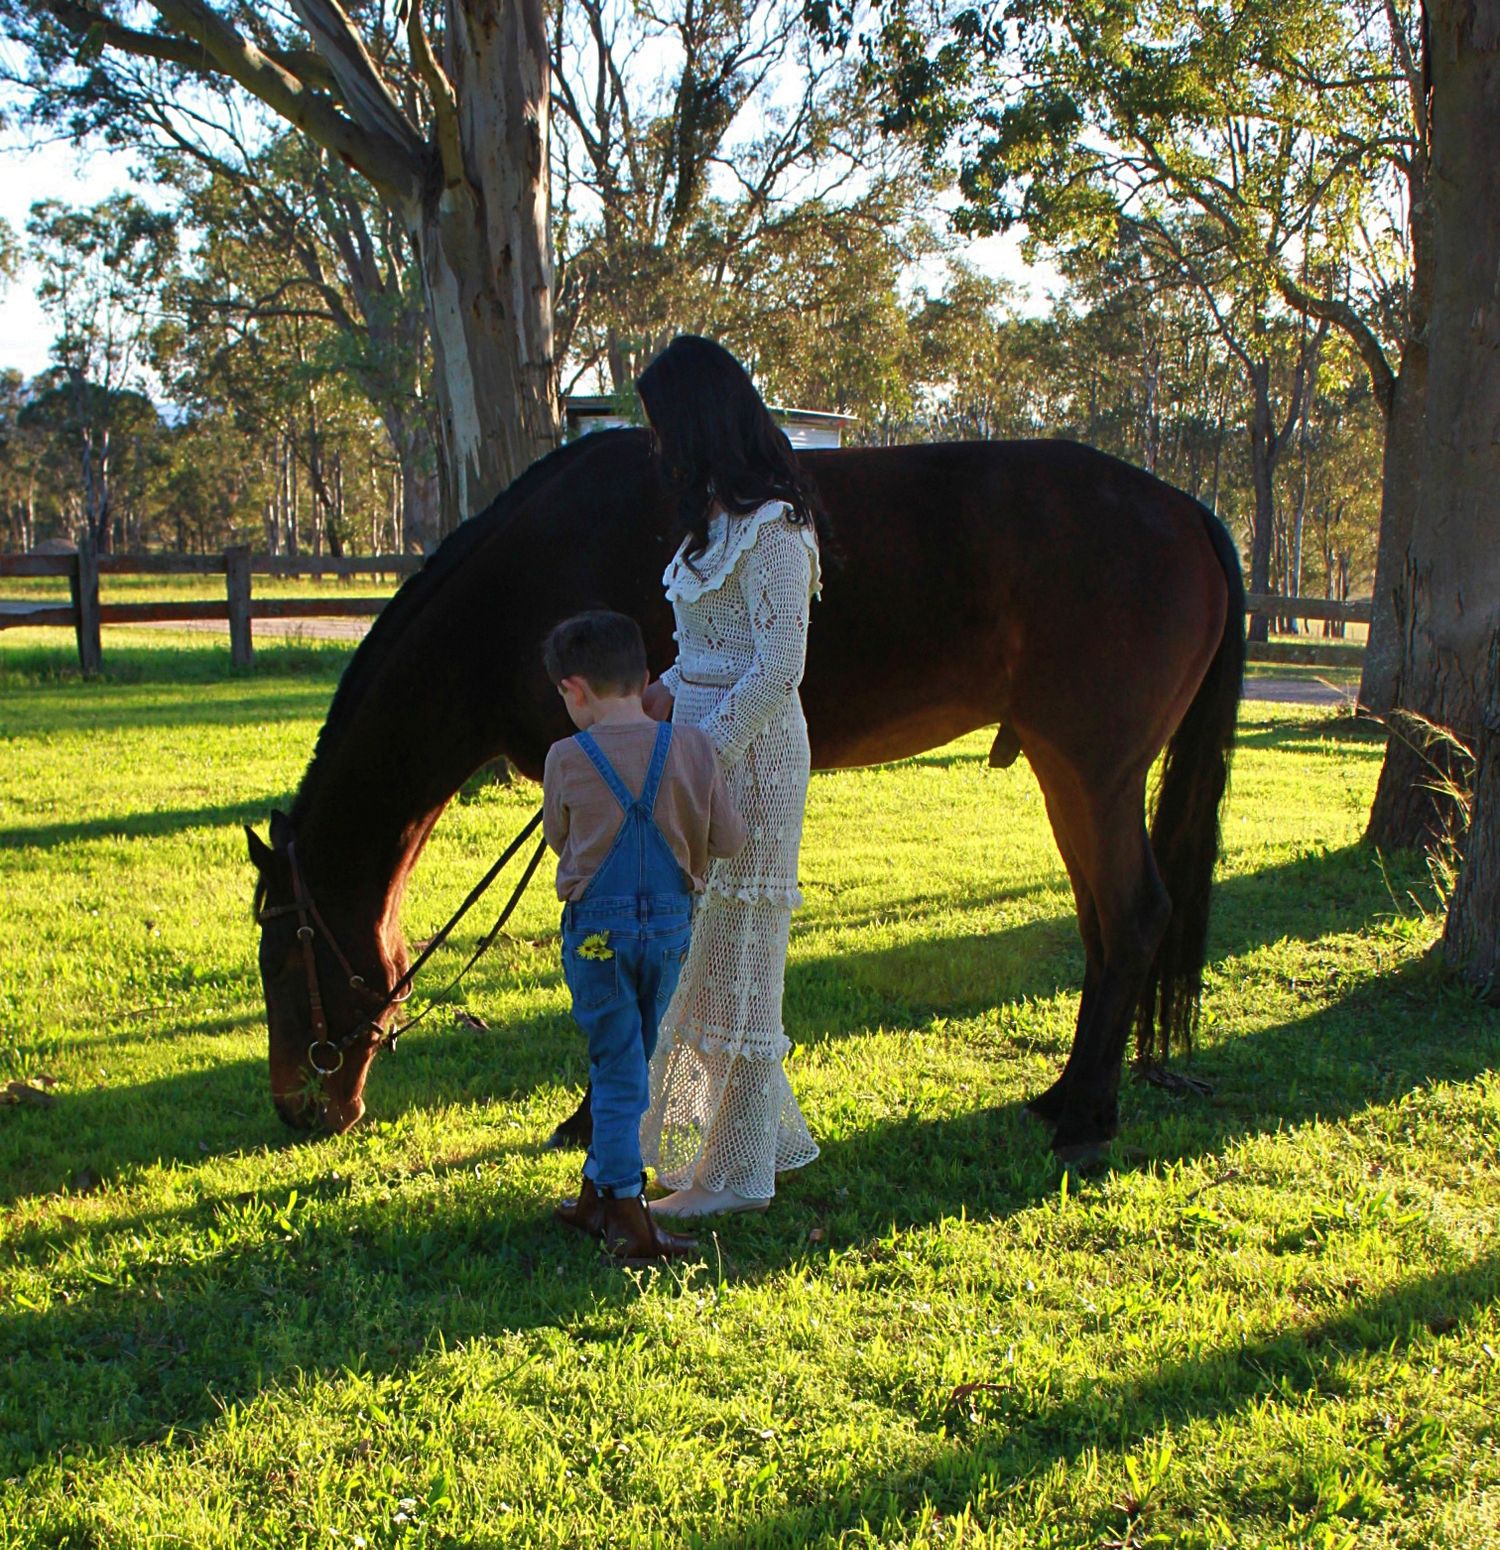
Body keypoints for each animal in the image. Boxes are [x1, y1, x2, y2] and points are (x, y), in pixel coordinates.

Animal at [246, 429, 1243, 1160]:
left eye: (280, 958)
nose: (298, 1107)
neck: (516, 592)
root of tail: (1188, 509)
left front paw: (594, 1115)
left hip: (1095, 771)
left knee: (1135, 915)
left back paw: (1084, 1120)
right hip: (1069, 774)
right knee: (1103, 928)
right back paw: (1068, 1096)